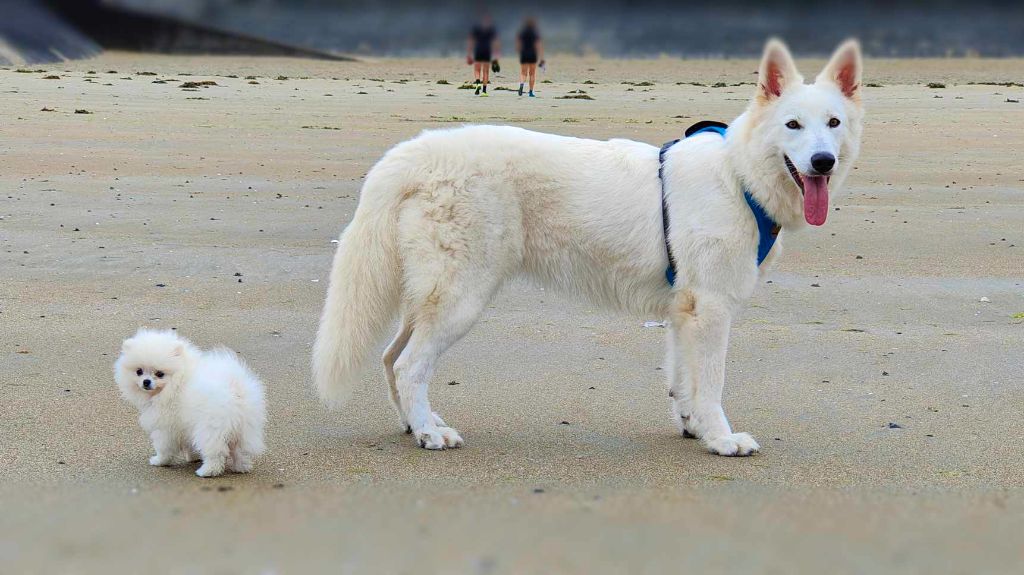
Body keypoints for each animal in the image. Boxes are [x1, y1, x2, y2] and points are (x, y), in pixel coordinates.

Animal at [114, 327, 266, 474]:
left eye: (160, 374)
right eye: (139, 371)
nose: (146, 382)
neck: (177, 381)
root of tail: (236, 389)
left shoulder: (165, 427)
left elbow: (164, 447)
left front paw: (159, 461)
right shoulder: (185, 426)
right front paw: (193, 457)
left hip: (210, 428)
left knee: (215, 453)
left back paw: (207, 471)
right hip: (242, 429)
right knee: (240, 452)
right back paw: (240, 467)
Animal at [311, 38, 864, 454]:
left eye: (833, 124)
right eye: (793, 125)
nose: (822, 162)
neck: (738, 176)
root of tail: (410, 154)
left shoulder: (683, 311)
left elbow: (683, 379)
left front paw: (692, 426)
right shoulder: (710, 308)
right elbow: (711, 383)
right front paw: (722, 438)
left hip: (432, 295)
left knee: (391, 359)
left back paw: (415, 424)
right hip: (460, 297)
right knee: (409, 366)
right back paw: (429, 432)